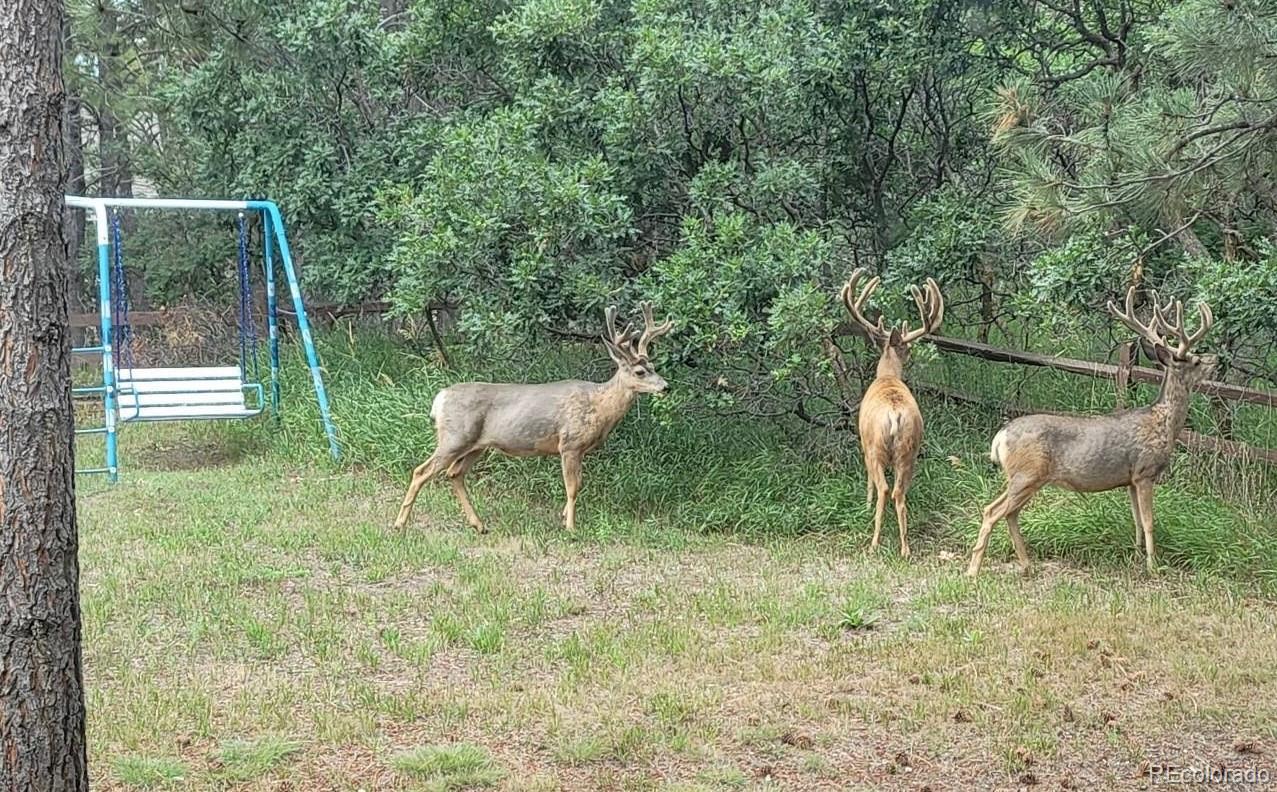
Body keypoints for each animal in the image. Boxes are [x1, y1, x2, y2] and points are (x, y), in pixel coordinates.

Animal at [390, 300, 674, 533]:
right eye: (639, 372)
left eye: (654, 366)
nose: (666, 387)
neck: (599, 405)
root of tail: (439, 399)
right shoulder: (569, 443)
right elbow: (573, 486)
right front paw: (571, 527)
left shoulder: (579, 450)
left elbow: (577, 484)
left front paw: (563, 517)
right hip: (454, 437)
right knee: (421, 471)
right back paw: (399, 524)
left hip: (476, 445)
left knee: (454, 474)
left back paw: (479, 525)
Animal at [842, 269, 944, 559]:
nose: (909, 352)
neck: (887, 377)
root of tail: (895, 416)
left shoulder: (864, 443)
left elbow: (869, 481)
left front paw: (864, 504)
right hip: (909, 449)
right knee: (899, 492)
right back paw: (905, 547)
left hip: (877, 447)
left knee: (885, 489)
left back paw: (875, 542)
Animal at [965, 284, 1215, 574]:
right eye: (1195, 361)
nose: (1216, 360)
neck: (1163, 423)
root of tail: (1000, 437)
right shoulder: (1145, 471)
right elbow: (1149, 522)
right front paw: (1153, 566)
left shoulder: (1130, 478)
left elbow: (1136, 520)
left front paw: (1137, 554)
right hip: (1026, 474)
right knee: (992, 511)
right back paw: (974, 570)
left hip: (1024, 478)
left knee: (1008, 513)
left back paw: (1026, 564)